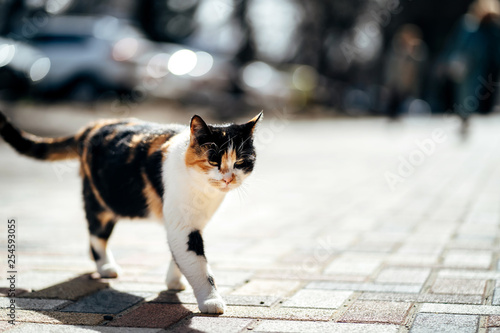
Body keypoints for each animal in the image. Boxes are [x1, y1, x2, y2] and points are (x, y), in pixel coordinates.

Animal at [0, 110, 264, 312]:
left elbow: (179, 255)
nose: (228, 178)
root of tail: (93, 125)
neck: (204, 192)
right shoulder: (183, 225)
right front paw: (211, 301)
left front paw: (174, 280)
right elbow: (199, 266)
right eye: (213, 161)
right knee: (96, 236)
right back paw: (106, 267)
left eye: (240, 163)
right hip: (101, 203)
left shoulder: (187, 224)